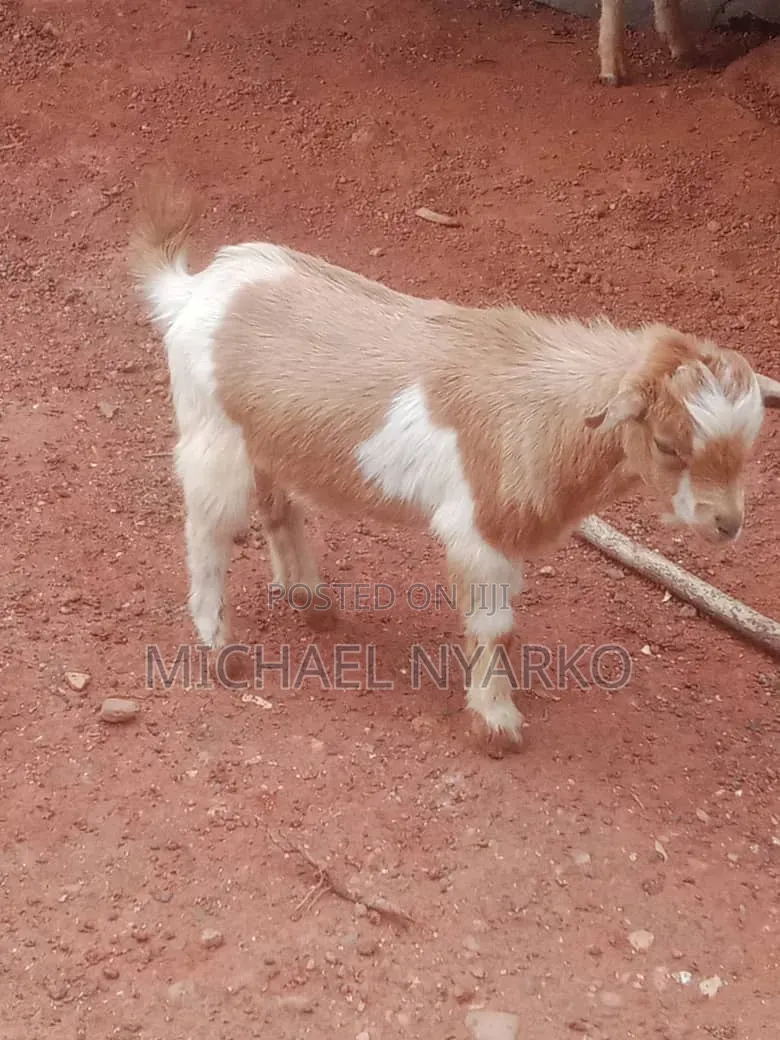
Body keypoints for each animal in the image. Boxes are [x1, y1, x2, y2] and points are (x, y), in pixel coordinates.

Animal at [129, 172, 780, 757]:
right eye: (670, 445)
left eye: (748, 447)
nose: (727, 524)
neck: (549, 410)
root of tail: (196, 289)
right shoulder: (479, 532)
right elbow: (493, 625)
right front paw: (496, 723)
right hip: (211, 434)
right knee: (207, 531)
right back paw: (222, 648)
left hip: (263, 436)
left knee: (275, 505)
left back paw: (310, 601)